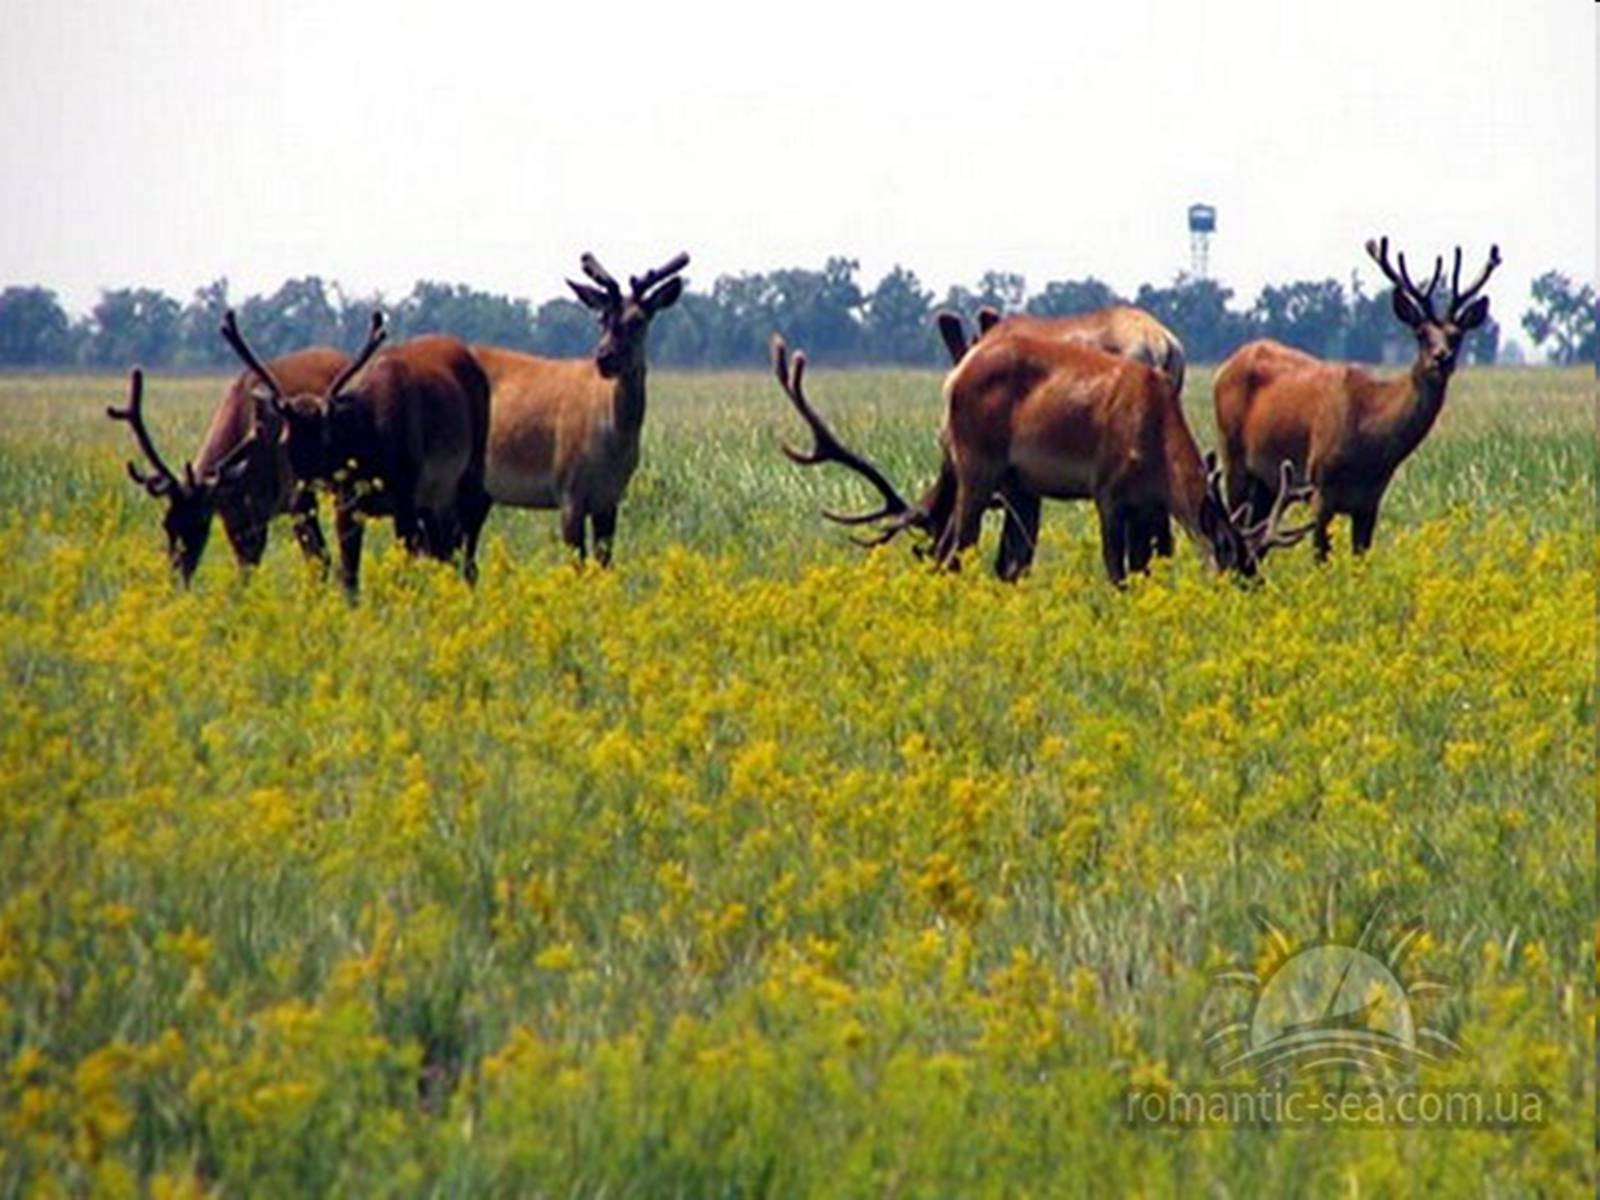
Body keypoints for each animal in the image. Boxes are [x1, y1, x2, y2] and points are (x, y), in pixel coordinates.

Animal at [109, 350, 353, 585]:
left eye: (200, 525)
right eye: (166, 524)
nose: (176, 580)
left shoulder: (297, 496)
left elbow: (320, 559)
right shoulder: (237, 516)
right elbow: (246, 567)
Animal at [220, 310, 492, 592]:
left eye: (326, 437)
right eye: (283, 441)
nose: (298, 498)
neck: (369, 442)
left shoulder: (406, 494)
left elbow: (403, 572)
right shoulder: (347, 502)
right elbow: (350, 575)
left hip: (467, 473)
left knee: (468, 542)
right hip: (433, 499)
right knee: (444, 550)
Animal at [467, 249, 684, 569]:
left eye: (638, 320)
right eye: (601, 318)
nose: (604, 357)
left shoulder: (610, 497)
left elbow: (604, 564)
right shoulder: (567, 489)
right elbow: (577, 565)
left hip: (477, 492)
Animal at [774, 334, 1312, 588]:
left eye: (1256, 563)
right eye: (1235, 565)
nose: (1256, 592)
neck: (1157, 441)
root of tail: (954, 377)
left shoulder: (1144, 503)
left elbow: (1141, 567)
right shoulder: (1107, 489)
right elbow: (1115, 569)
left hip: (1009, 481)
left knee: (964, 549)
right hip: (976, 464)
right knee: (953, 546)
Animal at [1209, 236, 1497, 563]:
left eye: (1457, 335)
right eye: (1421, 334)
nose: (1442, 358)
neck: (1369, 441)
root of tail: (1224, 367)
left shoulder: (1370, 501)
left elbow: (1361, 557)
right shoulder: (1320, 488)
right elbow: (1319, 558)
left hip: (1267, 484)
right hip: (1232, 457)